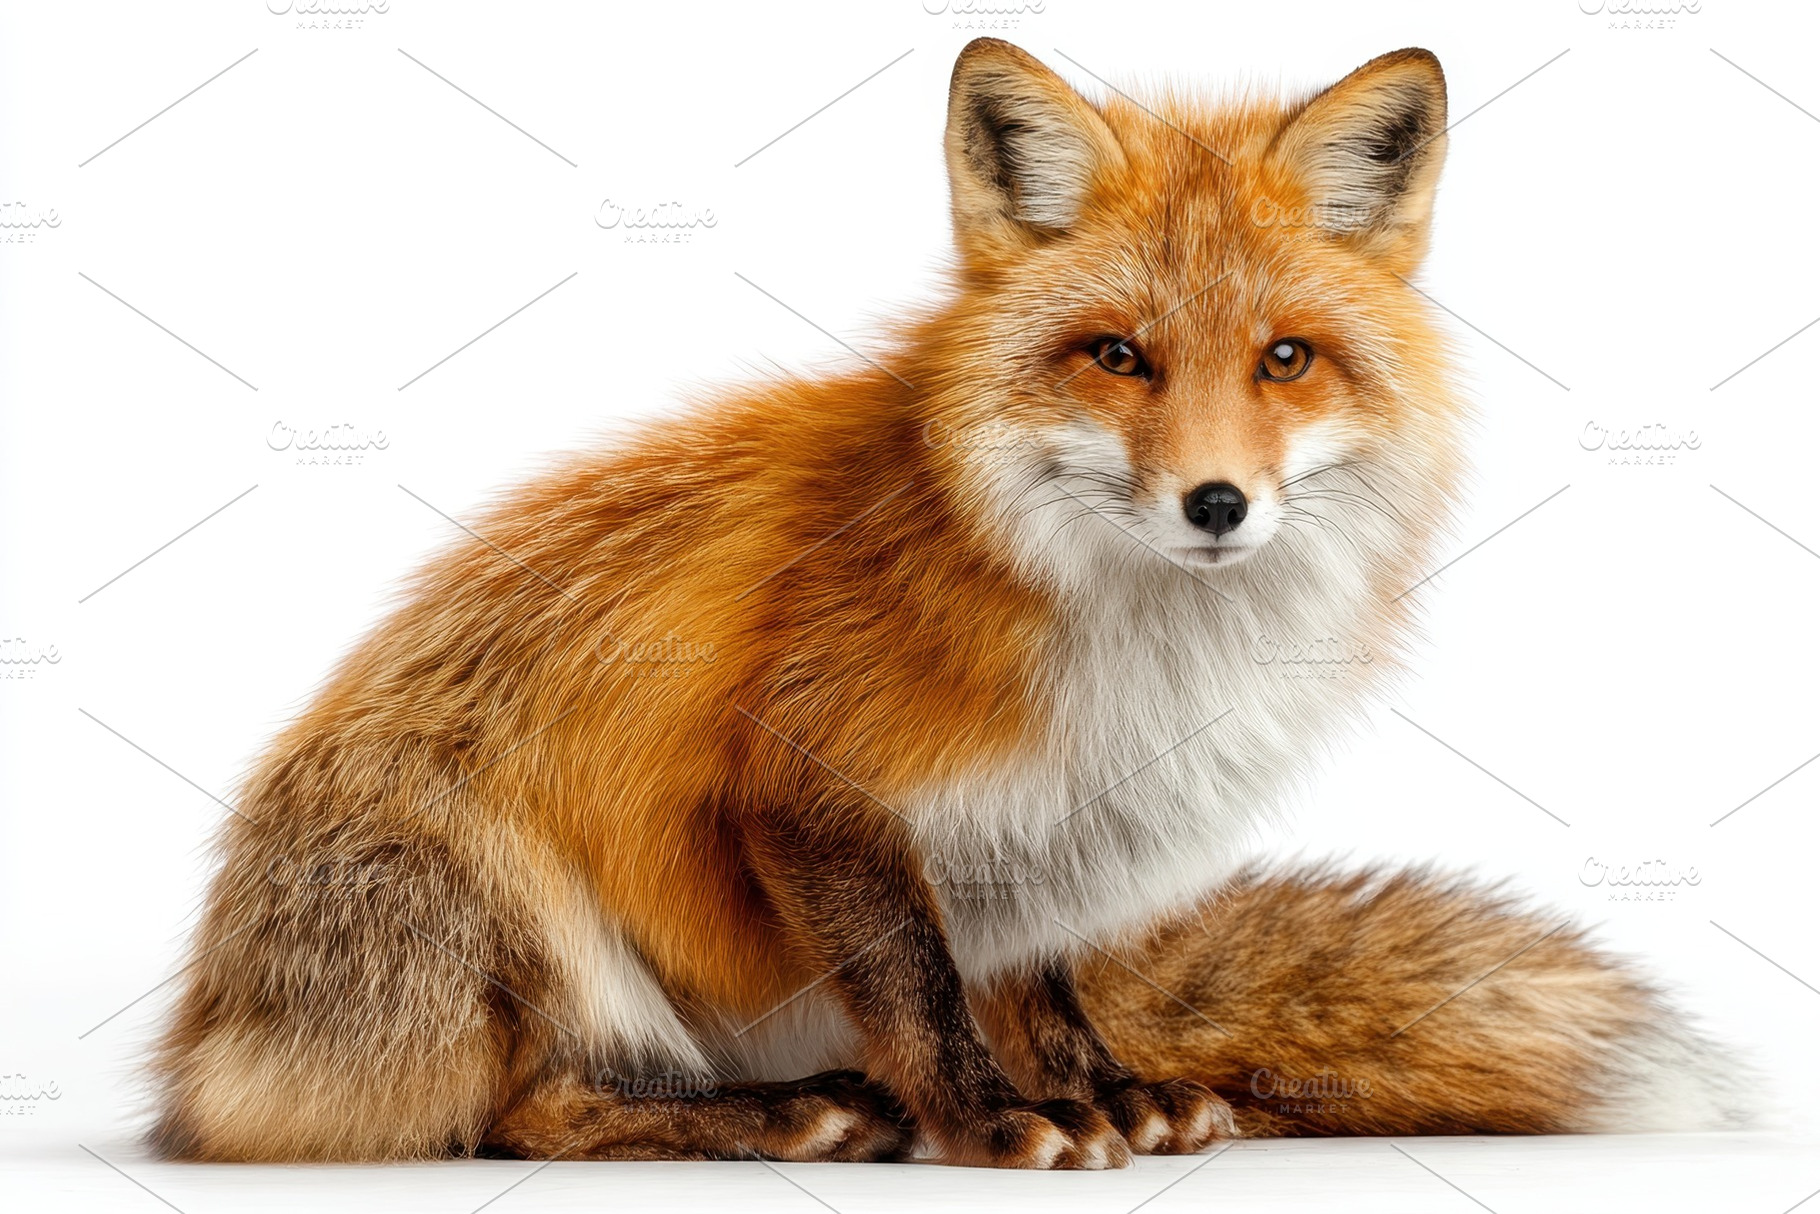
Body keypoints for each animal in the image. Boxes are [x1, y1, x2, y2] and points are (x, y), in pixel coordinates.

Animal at [149, 39, 1745, 1167]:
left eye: (1286, 359)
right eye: (1117, 355)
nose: (1216, 504)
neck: (1129, 630)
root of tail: (200, 1051)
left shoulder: (1058, 814)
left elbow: (1037, 978)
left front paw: (1106, 1092)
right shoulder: (802, 776)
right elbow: (918, 984)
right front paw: (990, 1122)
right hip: (482, 873)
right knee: (520, 1109)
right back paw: (783, 1115)